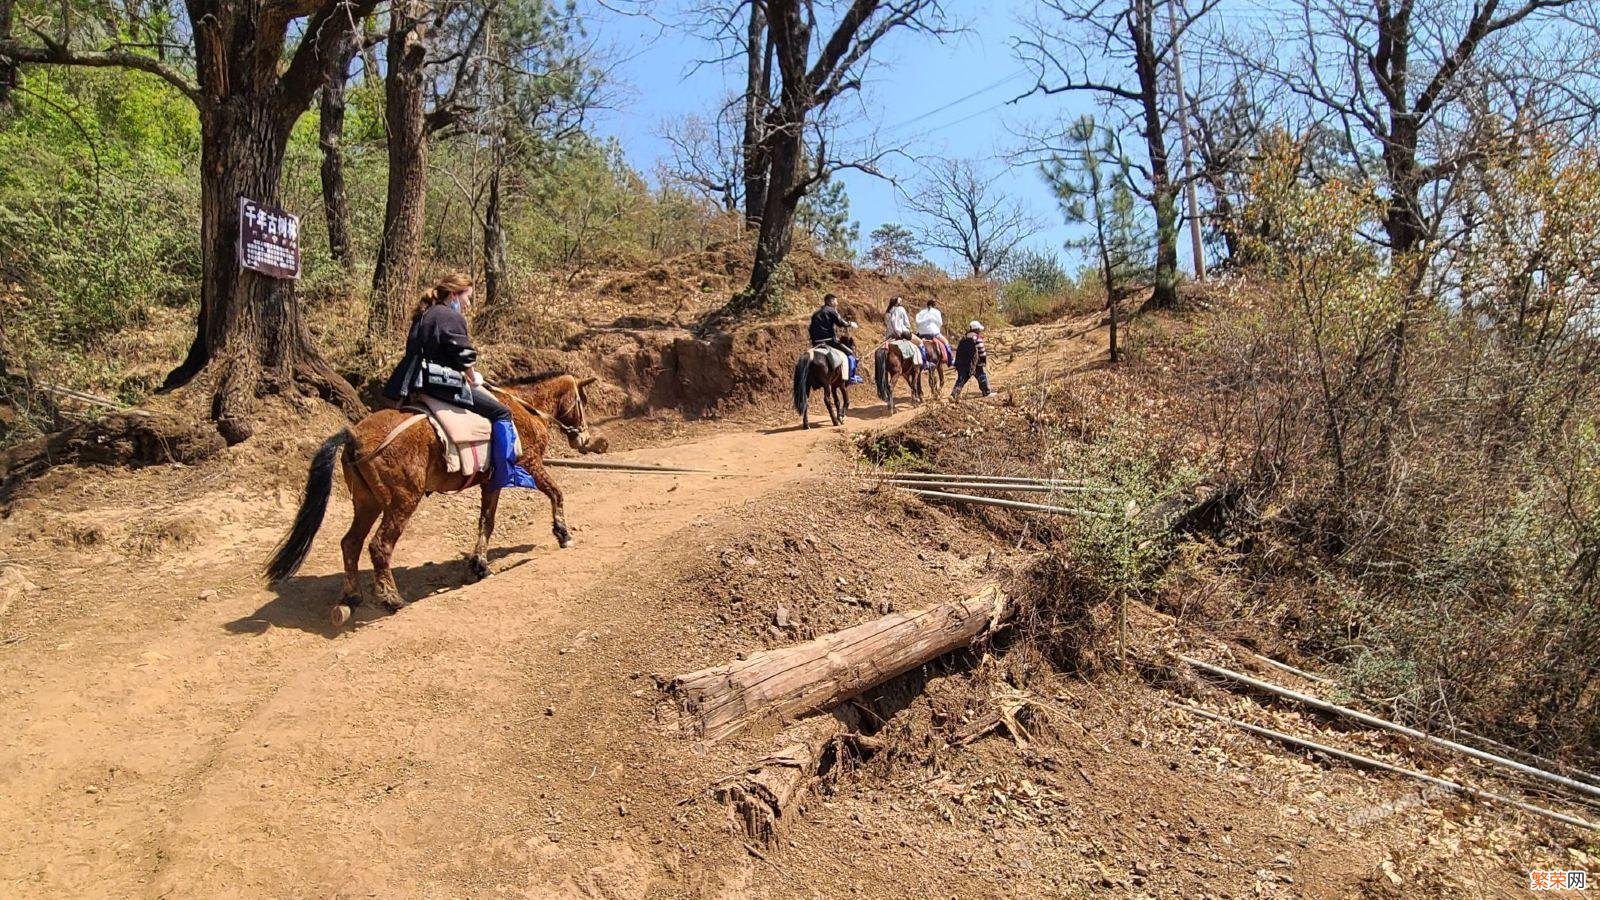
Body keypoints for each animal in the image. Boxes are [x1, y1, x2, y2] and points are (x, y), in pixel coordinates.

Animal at [265, 369, 601, 624]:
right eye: (582, 401)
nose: (583, 439)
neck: (524, 407)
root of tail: (354, 436)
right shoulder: (530, 464)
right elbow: (556, 493)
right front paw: (563, 534)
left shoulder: (491, 483)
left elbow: (487, 522)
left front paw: (480, 565)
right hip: (402, 502)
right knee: (379, 546)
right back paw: (392, 599)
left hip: (366, 502)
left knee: (351, 543)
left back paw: (353, 596)